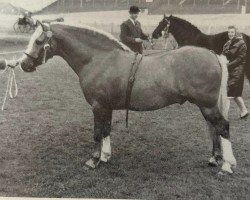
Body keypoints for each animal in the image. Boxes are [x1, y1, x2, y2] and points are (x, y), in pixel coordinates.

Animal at [20, 21, 236, 174]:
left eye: (38, 41)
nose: (23, 64)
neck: (99, 59)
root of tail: (213, 55)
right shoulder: (106, 106)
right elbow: (106, 130)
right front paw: (105, 157)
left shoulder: (97, 106)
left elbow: (97, 133)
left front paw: (93, 160)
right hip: (206, 106)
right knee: (214, 128)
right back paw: (215, 159)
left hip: (207, 105)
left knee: (223, 127)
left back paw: (226, 166)